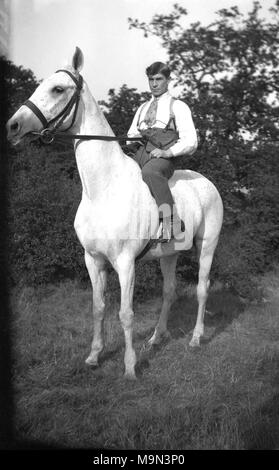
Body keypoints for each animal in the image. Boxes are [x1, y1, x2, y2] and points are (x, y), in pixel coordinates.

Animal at [6, 47, 224, 378]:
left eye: (58, 89)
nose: (13, 126)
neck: (103, 190)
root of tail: (208, 184)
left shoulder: (125, 263)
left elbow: (125, 313)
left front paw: (130, 367)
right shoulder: (93, 259)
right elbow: (98, 308)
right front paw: (94, 356)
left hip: (207, 245)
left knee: (202, 288)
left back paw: (196, 339)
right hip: (169, 254)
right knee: (170, 291)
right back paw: (157, 337)